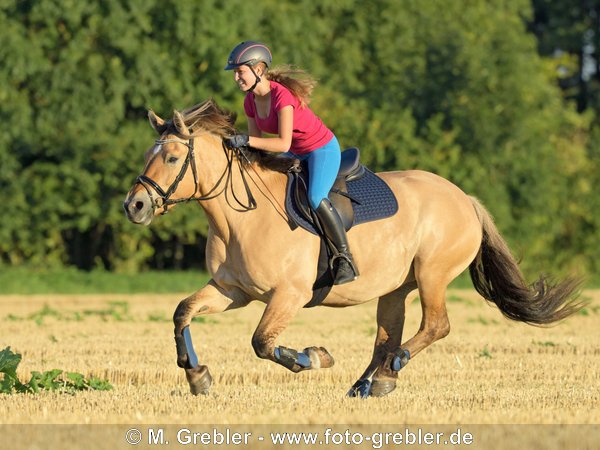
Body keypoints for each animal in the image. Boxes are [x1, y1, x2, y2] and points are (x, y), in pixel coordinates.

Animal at [123, 99, 580, 398]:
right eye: (148, 153)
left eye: (172, 157)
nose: (135, 206)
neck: (241, 219)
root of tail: (465, 199)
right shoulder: (231, 291)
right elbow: (183, 312)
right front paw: (197, 376)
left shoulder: (288, 295)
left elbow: (263, 343)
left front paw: (315, 357)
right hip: (396, 287)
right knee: (386, 337)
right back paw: (370, 382)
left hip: (432, 274)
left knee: (435, 326)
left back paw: (388, 373)